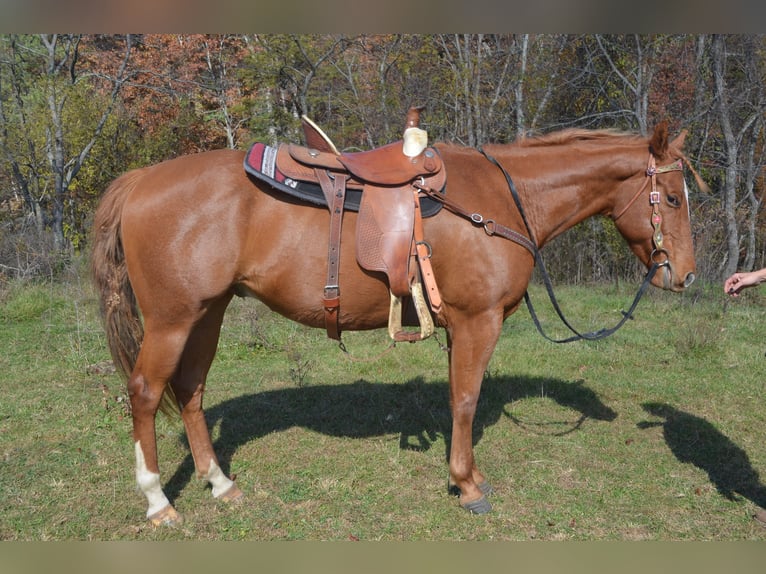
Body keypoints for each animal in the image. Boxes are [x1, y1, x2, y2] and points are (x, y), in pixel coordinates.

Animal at [91, 121, 704, 528]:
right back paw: (158, 501)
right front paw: (468, 485)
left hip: (207, 314)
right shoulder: (478, 322)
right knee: (145, 393)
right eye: (673, 198)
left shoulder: (459, 326)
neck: (503, 199)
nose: (686, 275)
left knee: (191, 390)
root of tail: (141, 181)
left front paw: (465, 476)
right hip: (172, 320)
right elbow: (466, 400)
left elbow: (459, 397)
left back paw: (220, 484)